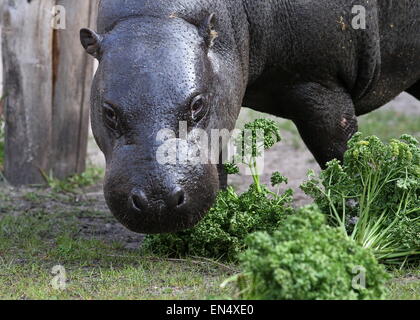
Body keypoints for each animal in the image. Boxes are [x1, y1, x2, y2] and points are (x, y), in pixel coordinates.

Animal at [79, 0, 420, 235]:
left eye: (197, 104)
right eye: (108, 112)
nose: (157, 201)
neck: (158, 18)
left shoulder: (319, 86)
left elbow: (343, 157)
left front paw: (353, 224)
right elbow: (217, 161)